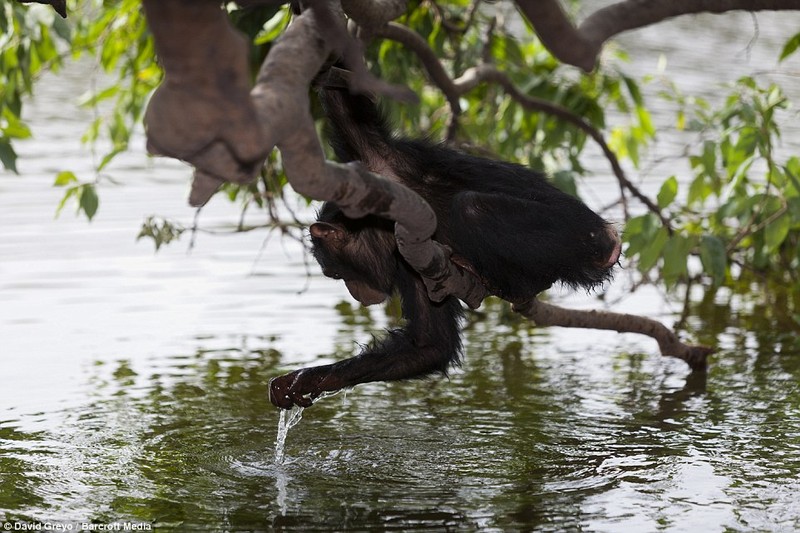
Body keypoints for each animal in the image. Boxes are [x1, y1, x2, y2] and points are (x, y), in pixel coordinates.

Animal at [266, 78, 620, 408]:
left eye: (337, 274)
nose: (355, 292)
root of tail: (608, 235)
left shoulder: (377, 159)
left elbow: (345, 103)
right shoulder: (409, 263)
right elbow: (430, 343)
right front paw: (309, 379)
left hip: (577, 236)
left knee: (471, 208)